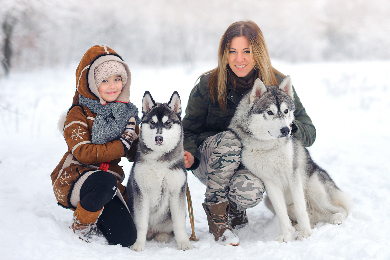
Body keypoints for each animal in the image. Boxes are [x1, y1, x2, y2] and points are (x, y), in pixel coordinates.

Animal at [127, 90, 193, 251]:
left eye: (168, 123)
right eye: (152, 123)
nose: (159, 138)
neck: (160, 162)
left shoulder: (177, 192)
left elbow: (179, 223)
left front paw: (184, 243)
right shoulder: (141, 192)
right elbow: (141, 223)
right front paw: (138, 244)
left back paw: (163, 236)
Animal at [229, 76, 354, 243]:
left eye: (286, 111)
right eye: (269, 112)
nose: (286, 130)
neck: (269, 147)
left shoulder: (293, 175)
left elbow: (301, 208)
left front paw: (305, 234)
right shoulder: (269, 182)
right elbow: (282, 214)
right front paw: (285, 235)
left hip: (315, 189)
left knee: (341, 209)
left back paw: (335, 218)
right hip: (268, 201)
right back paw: (298, 225)